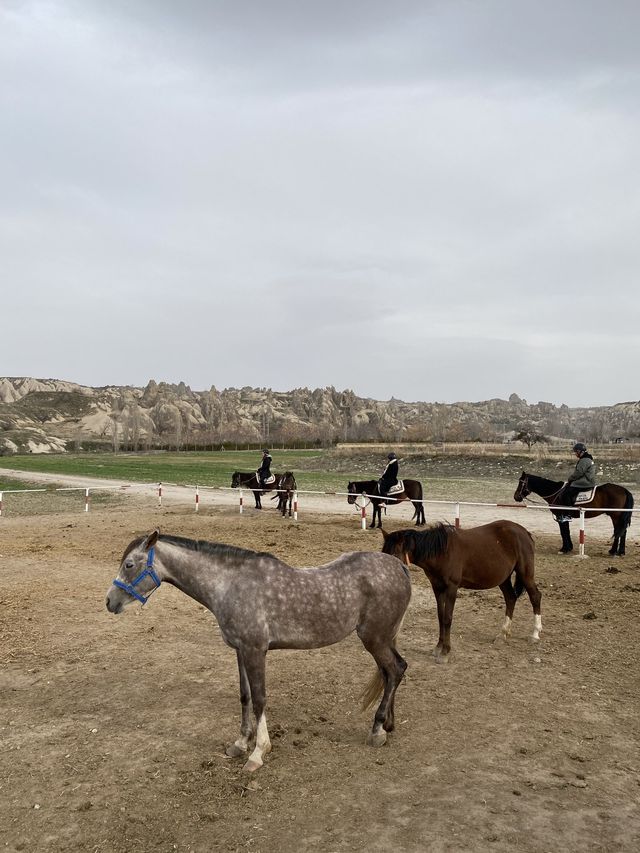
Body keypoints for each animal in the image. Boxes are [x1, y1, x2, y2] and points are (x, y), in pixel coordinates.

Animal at [106, 528, 410, 768]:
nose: (110, 601)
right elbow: (245, 697)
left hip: (375, 639)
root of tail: (399, 567)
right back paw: (388, 724)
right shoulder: (240, 650)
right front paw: (241, 743)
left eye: (130, 565)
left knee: (396, 669)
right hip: (380, 640)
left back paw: (377, 730)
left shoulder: (255, 650)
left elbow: (261, 699)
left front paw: (258, 752)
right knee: (389, 674)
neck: (230, 585)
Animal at [382, 516, 544, 664]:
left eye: (395, 554)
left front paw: (445, 652)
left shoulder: (452, 588)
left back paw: (535, 634)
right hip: (503, 578)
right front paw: (438, 647)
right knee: (510, 598)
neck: (442, 552)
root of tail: (524, 531)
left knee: (535, 596)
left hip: (525, 574)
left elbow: (447, 618)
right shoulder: (437, 588)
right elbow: (440, 616)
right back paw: (503, 633)